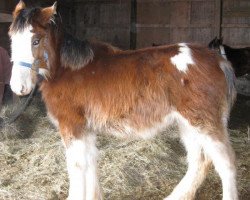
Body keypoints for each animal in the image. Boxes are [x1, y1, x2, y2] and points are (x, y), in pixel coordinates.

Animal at [9, 1, 238, 200]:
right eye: (11, 40)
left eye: (35, 40)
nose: (18, 87)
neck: (68, 70)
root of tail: (218, 60)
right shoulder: (86, 129)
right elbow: (90, 162)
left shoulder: (72, 127)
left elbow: (76, 166)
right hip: (188, 125)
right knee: (199, 161)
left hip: (204, 123)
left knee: (225, 164)